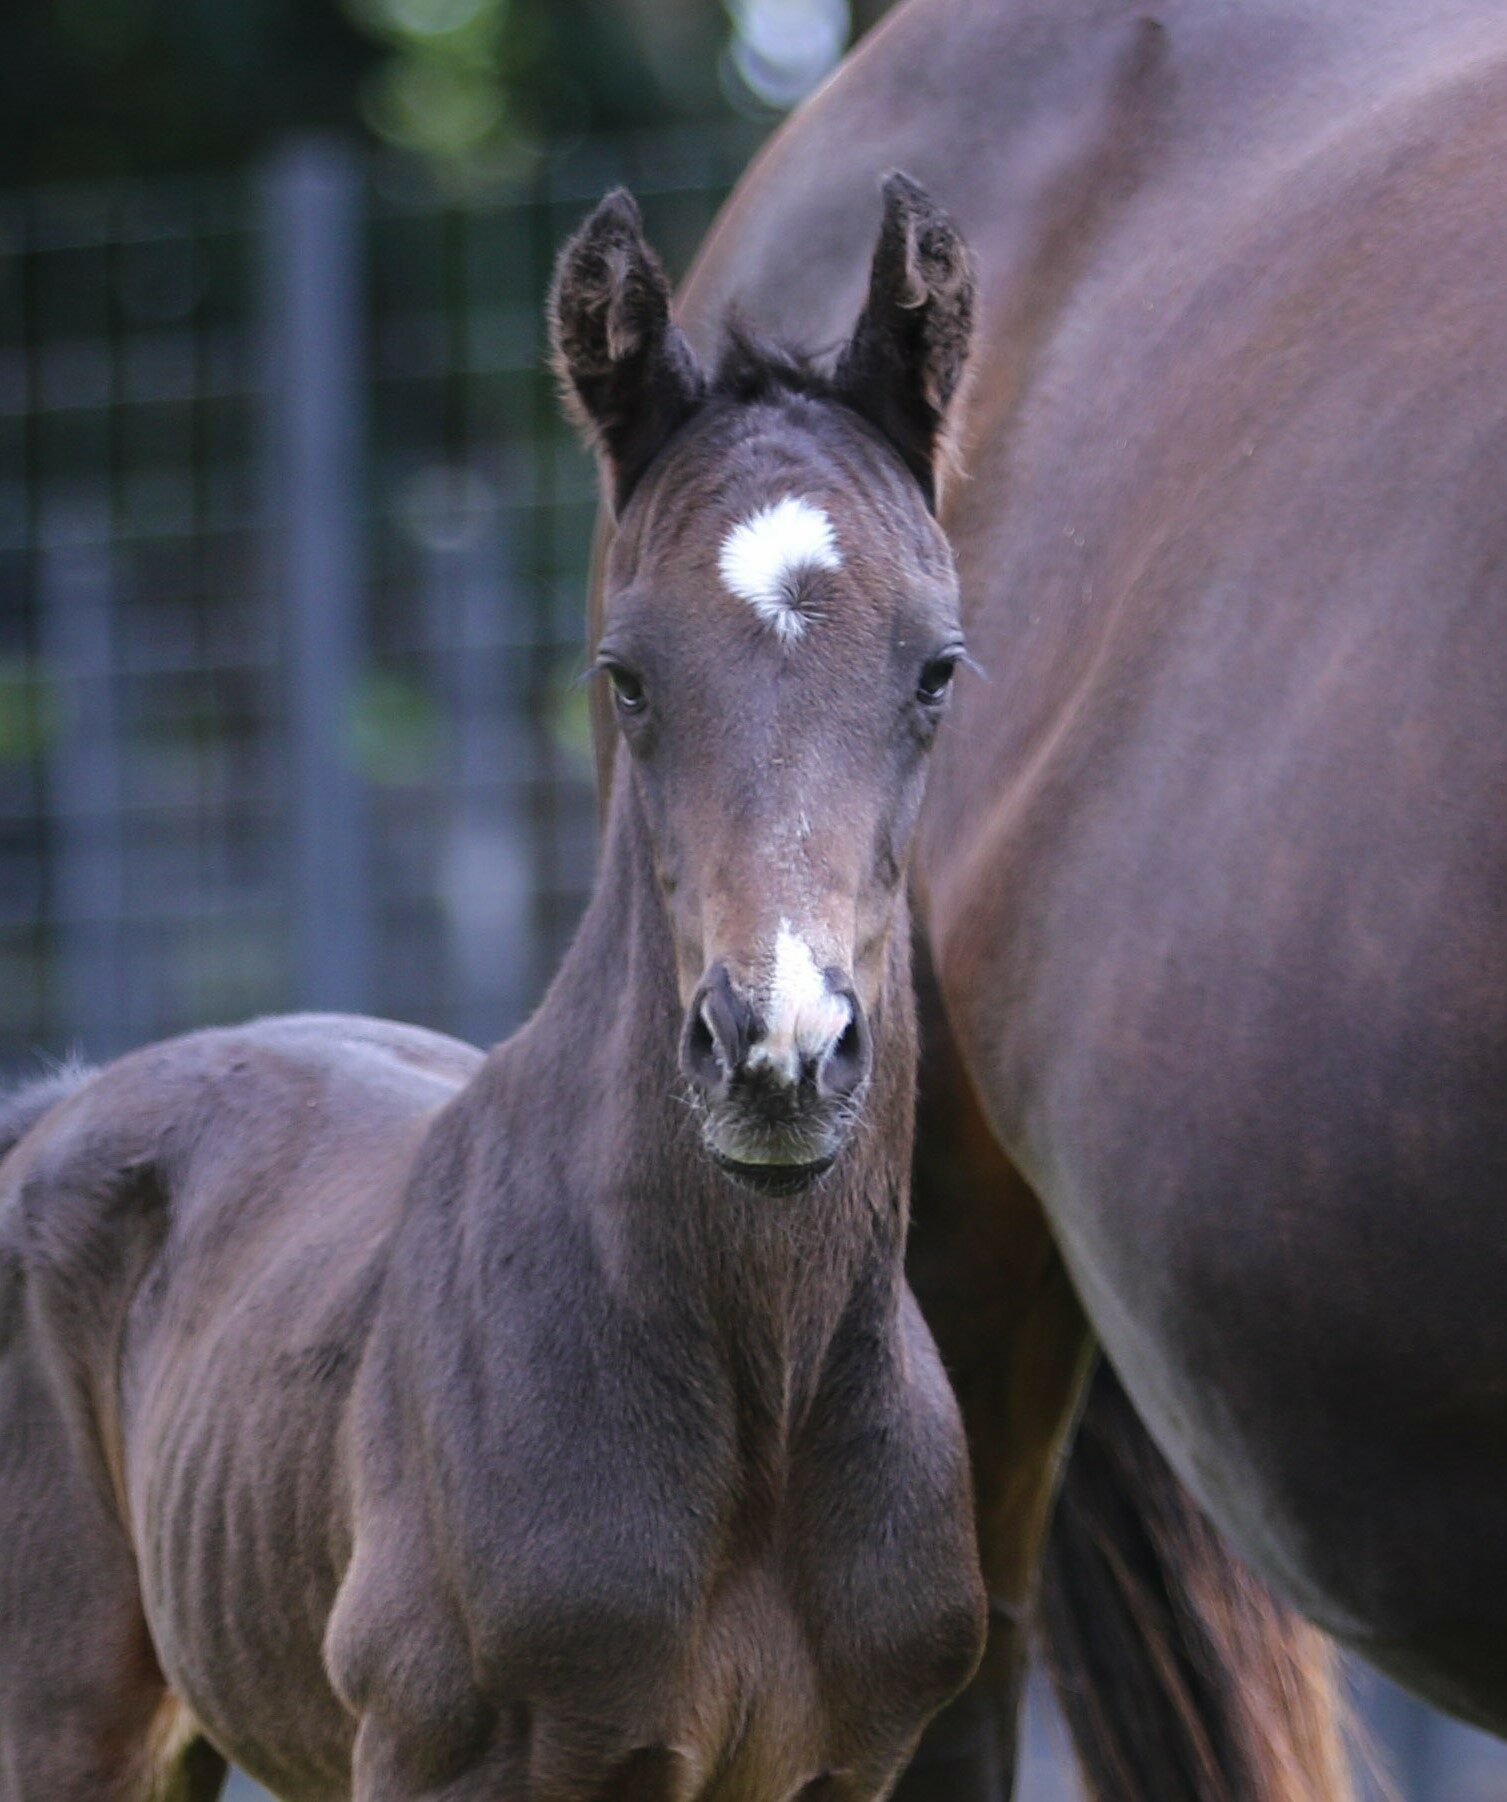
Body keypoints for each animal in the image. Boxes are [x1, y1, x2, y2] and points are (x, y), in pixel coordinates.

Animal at [0, 193, 987, 1802]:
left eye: (935, 671)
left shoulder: (850, 1766)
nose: (775, 1054)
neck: (766, 1403)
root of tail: (64, 1102)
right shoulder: (448, 1753)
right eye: (625, 674)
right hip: (66, 1707)